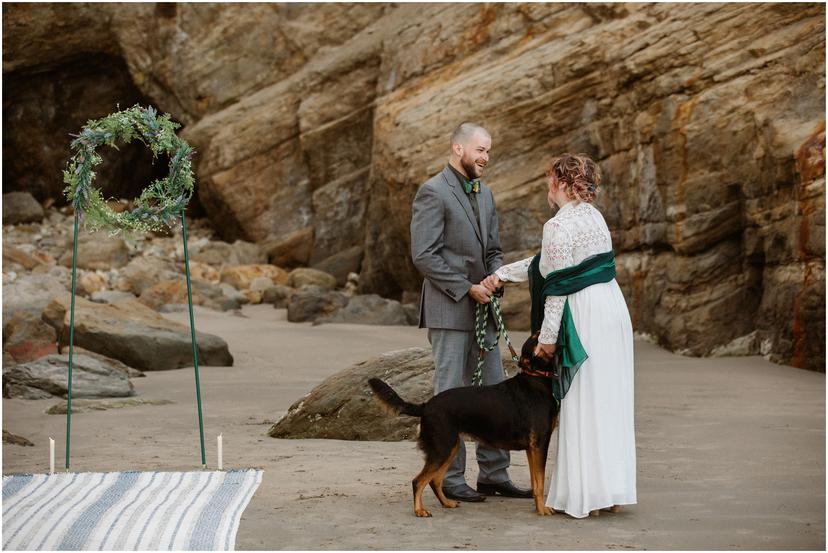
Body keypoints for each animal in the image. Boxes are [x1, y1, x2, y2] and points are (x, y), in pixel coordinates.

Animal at [370, 332, 560, 516]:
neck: (536, 380)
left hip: (449, 447)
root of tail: (426, 405)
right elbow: (540, 482)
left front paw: (537, 507)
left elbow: (535, 482)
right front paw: (542, 510)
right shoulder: (540, 445)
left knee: (435, 480)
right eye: (537, 337)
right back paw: (419, 510)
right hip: (442, 448)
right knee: (418, 481)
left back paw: (447, 503)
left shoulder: (532, 448)